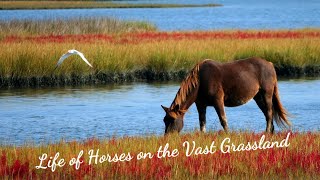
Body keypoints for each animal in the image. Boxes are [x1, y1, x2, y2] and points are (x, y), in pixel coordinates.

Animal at [161, 57, 292, 134]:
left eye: (172, 120)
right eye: (164, 120)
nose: (168, 137)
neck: (200, 81)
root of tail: (270, 64)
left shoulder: (218, 101)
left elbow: (223, 120)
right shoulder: (201, 105)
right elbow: (202, 122)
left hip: (267, 94)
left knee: (269, 113)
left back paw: (266, 132)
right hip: (258, 97)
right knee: (267, 114)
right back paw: (271, 132)